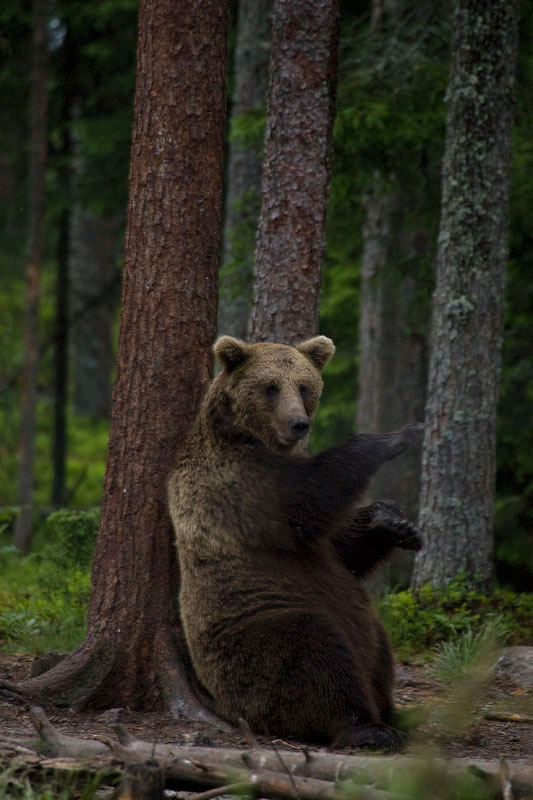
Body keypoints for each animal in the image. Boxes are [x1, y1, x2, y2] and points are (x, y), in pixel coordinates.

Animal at [168, 338, 422, 752]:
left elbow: (340, 547)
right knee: (313, 655)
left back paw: (395, 713)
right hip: (254, 626)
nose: (298, 424)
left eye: (304, 386)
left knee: (378, 646)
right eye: (271, 387)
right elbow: (305, 500)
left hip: (366, 627)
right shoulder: (237, 484)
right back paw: (368, 727)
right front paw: (396, 436)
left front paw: (394, 522)